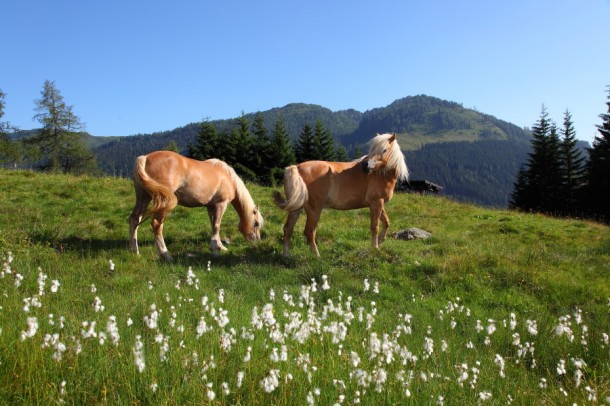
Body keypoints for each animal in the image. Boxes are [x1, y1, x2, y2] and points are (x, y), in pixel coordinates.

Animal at [128, 150, 262, 260]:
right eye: (256, 223)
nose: (256, 241)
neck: (227, 177)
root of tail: (145, 158)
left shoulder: (211, 207)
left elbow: (213, 225)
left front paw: (220, 246)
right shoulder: (221, 204)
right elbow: (217, 226)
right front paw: (215, 250)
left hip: (144, 197)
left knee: (134, 220)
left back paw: (135, 252)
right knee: (156, 225)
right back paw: (166, 255)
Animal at [272, 132, 406, 256]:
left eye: (384, 150)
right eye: (372, 149)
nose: (365, 165)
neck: (381, 175)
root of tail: (296, 168)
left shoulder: (378, 203)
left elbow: (386, 222)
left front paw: (381, 240)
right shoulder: (376, 203)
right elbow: (375, 226)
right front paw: (376, 248)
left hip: (296, 209)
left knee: (288, 229)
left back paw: (286, 255)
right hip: (314, 210)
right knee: (309, 232)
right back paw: (317, 256)